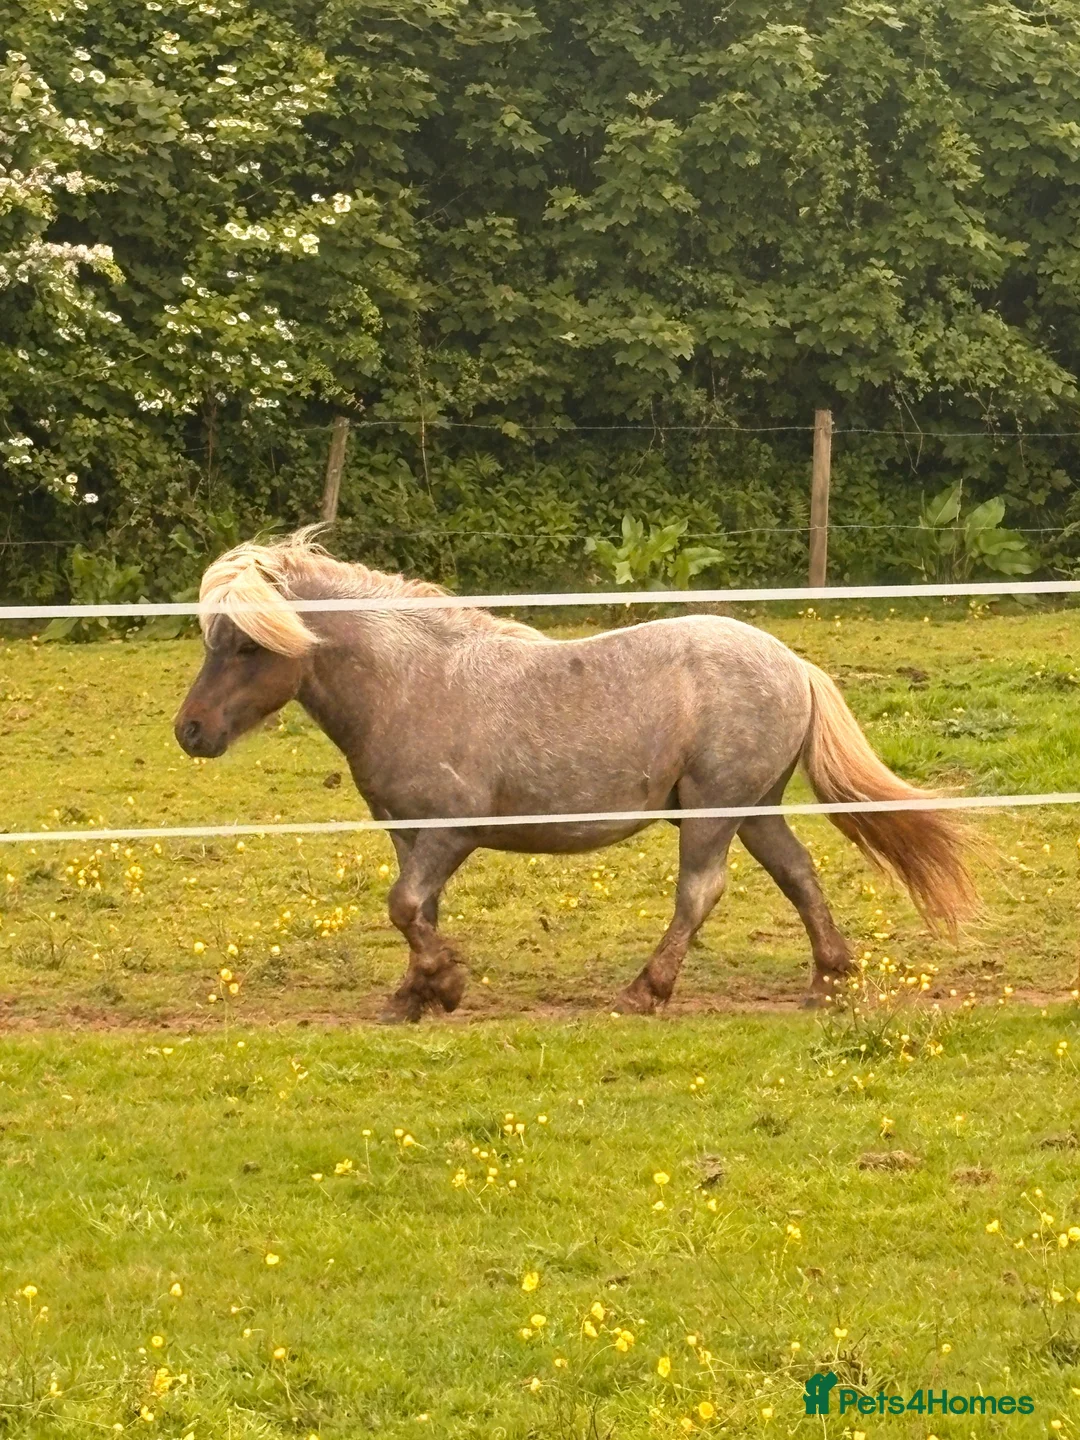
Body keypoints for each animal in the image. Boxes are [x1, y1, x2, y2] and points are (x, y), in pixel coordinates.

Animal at [174, 529, 975, 1021]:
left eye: (247, 645)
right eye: (212, 639)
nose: (191, 731)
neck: (415, 682)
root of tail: (794, 664)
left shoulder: (450, 833)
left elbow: (403, 907)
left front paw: (445, 984)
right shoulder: (410, 833)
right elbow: (417, 912)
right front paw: (417, 994)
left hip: (714, 812)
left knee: (700, 893)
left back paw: (646, 991)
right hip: (753, 809)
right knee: (800, 875)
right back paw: (828, 981)